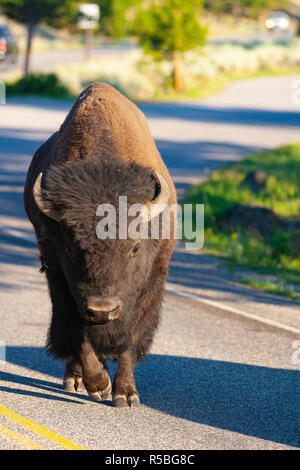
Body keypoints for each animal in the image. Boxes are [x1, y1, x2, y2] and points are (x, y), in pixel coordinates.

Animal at [25, 82, 178, 406]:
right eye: (70, 246)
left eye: (135, 247)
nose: (102, 310)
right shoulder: (60, 277)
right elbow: (78, 332)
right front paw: (98, 384)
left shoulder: (148, 285)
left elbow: (131, 337)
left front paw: (126, 394)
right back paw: (74, 379)